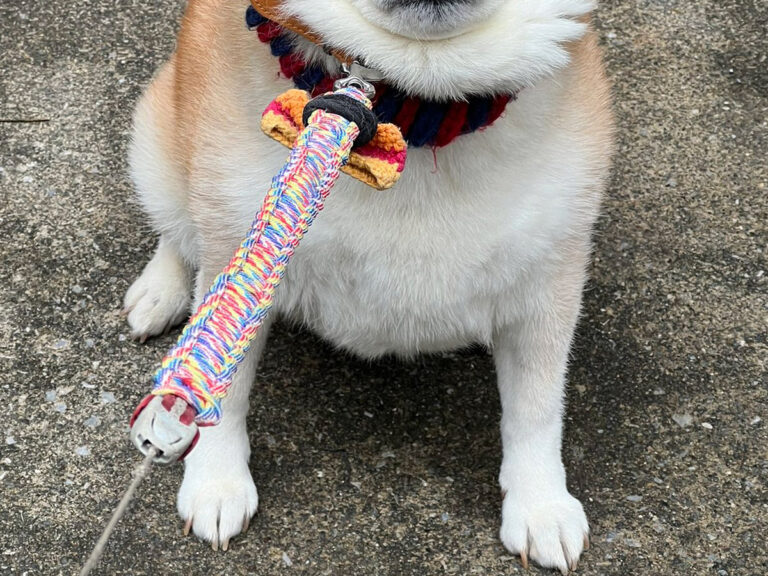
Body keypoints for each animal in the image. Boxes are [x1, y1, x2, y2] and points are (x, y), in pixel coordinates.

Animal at [124, 0, 612, 568]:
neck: (413, 108)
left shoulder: (547, 283)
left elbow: (536, 409)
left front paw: (540, 505)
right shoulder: (244, 253)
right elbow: (220, 383)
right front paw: (215, 482)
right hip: (160, 149)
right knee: (178, 231)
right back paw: (160, 293)